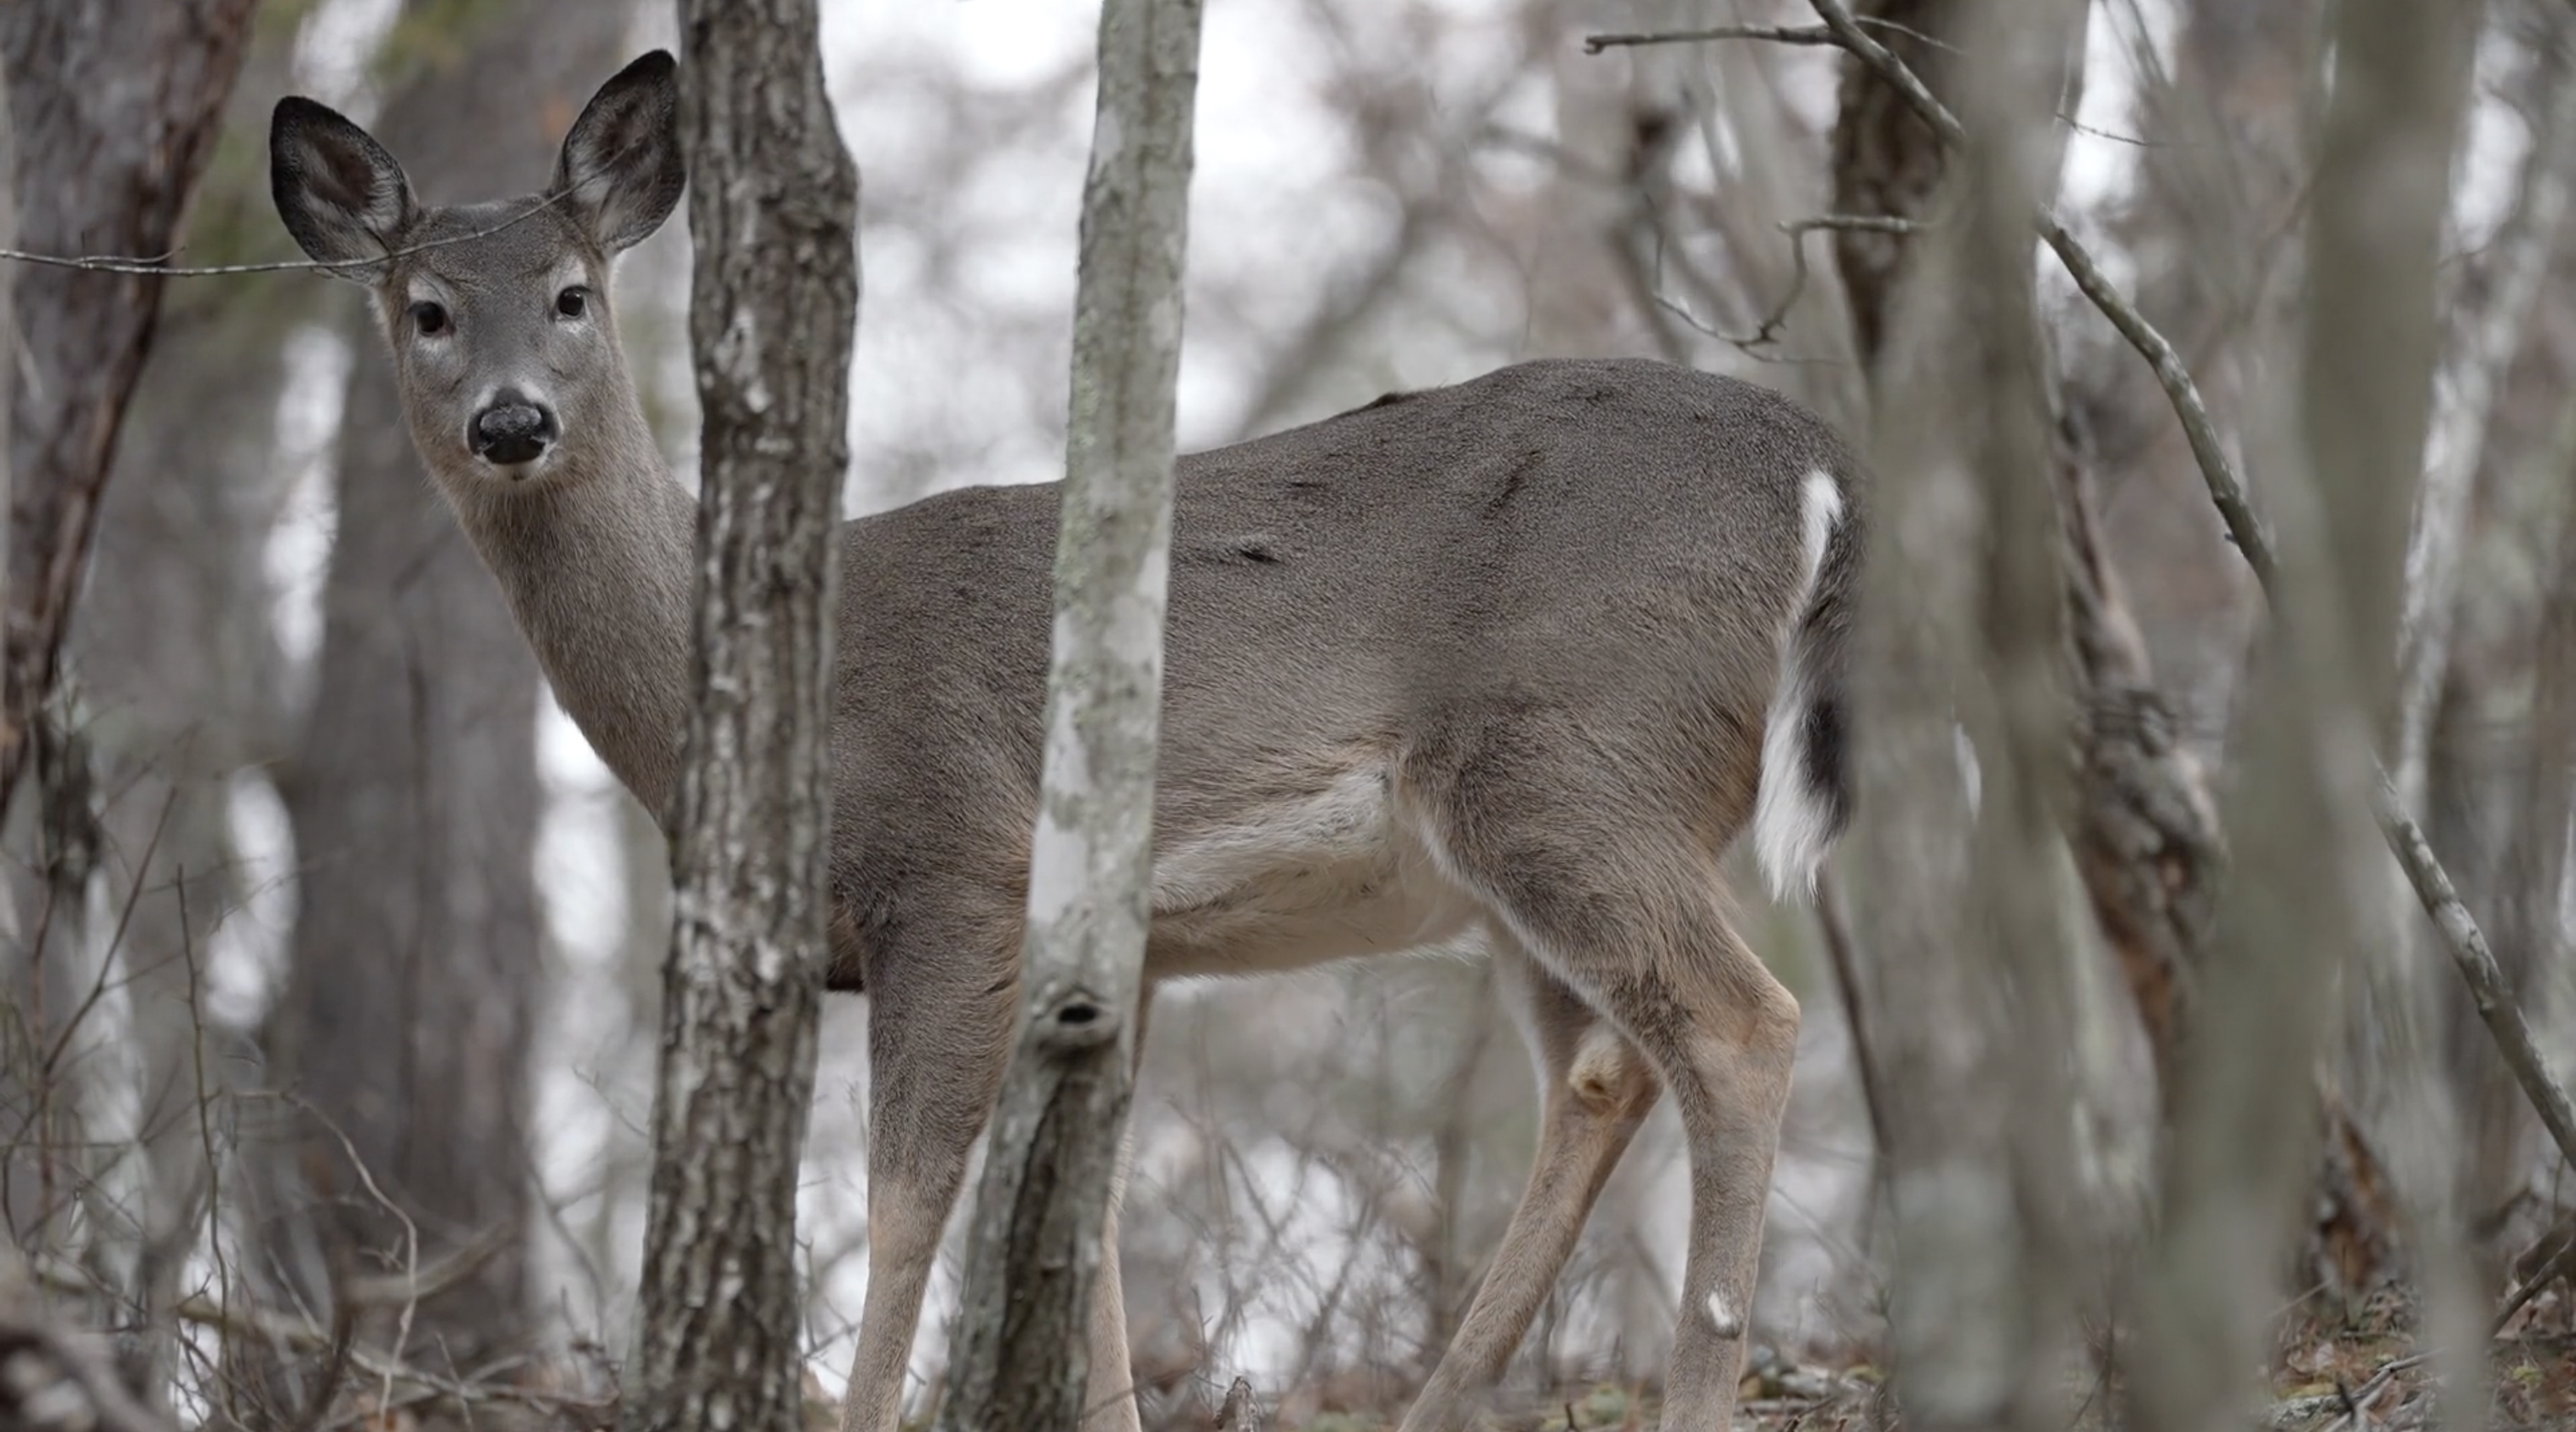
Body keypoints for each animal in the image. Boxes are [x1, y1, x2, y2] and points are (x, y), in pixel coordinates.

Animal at [268, 48, 1863, 1432]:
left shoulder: (952, 868)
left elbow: (907, 1203)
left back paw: (1695, 1391)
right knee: (1601, 1070)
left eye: (572, 294)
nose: (511, 422)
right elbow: (1075, 1219)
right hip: (1542, 826)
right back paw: (1445, 1403)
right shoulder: (1100, 956)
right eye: (426, 309)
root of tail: (1813, 463)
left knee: (1736, 1026)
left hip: (1570, 757)